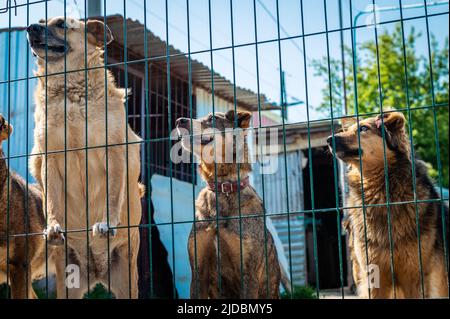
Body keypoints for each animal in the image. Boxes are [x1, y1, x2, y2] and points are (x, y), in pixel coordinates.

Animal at [26, 16, 142, 298]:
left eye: (61, 24)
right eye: (42, 21)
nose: (30, 27)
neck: (69, 90)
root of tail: (97, 272)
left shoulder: (115, 152)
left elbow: (113, 195)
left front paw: (107, 223)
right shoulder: (50, 158)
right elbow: (52, 201)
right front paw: (53, 226)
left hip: (128, 279)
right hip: (68, 282)